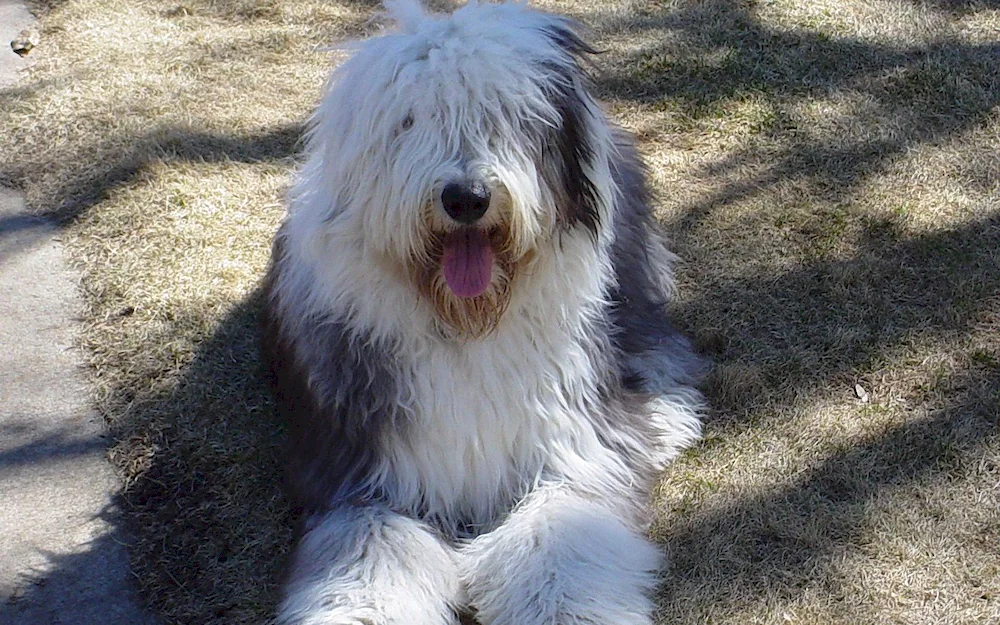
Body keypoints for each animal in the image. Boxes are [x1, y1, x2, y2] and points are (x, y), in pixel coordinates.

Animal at [262, 2, 708, 620]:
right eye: (410, 121)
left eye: (509, 116)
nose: (466, 198)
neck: (465, 323)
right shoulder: (361, 472)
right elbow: (369, 558)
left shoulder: (572, 444)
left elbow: (560, 535)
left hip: (630, 272)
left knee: (659, 344)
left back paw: (664, 418)